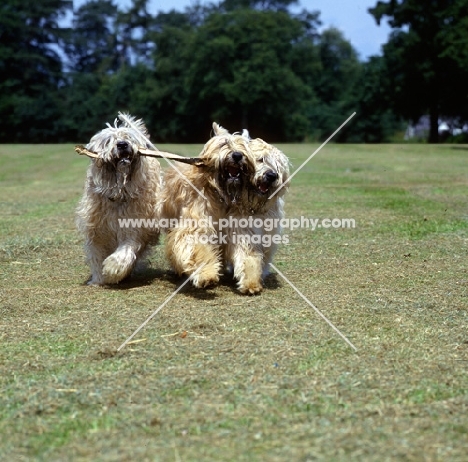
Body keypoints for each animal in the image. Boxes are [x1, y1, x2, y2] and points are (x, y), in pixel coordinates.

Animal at [74, 113, 159, 284]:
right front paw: (98, 279)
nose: (122, 144)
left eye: (128, 138)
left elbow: (126, 249)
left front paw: (113, 268)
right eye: (108, 141)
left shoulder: (134, 226)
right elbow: (96, 253)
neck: (118, 193)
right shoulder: (96, 228)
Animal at [163, 122, 290, 294]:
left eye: (279, 166)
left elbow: (248, 255)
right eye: (260, 159)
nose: (272, 176)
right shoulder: (197, 224)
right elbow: (197, 247)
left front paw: (250, 282)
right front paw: (206, 275)